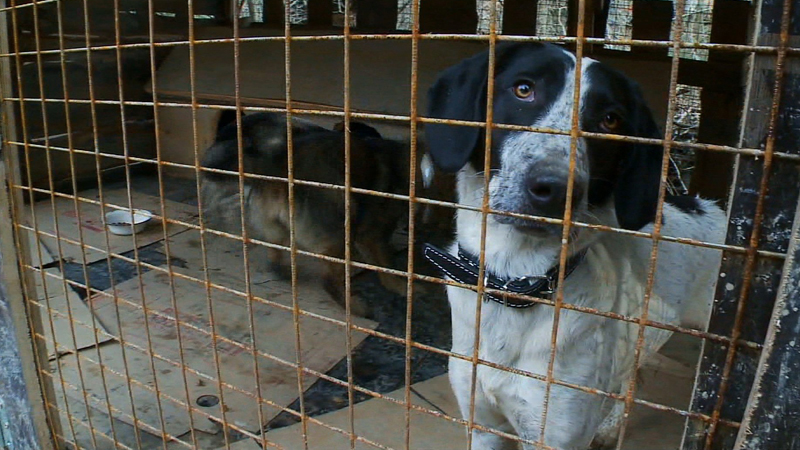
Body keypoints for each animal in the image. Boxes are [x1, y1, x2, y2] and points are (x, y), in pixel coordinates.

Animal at [422, 42, 728, 446]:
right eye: (523, 89)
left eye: (611, 120)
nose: (556, 189)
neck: (515, 279)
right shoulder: (482, 425)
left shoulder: (555, 435)